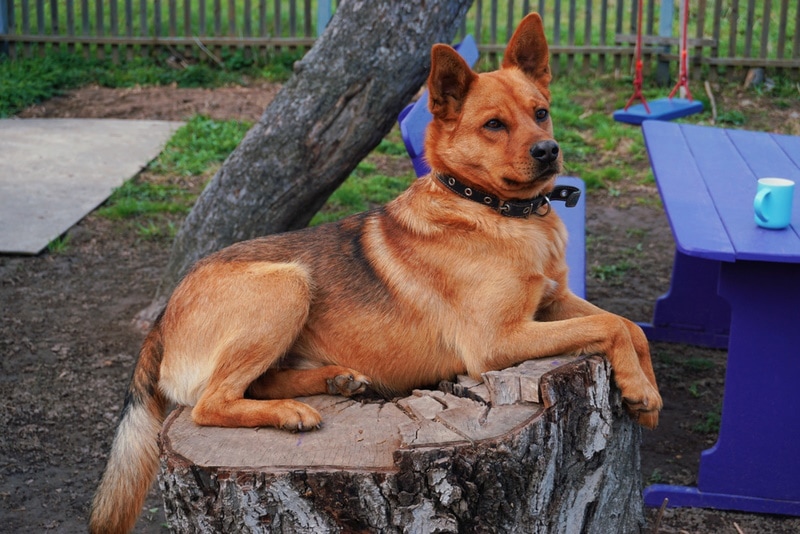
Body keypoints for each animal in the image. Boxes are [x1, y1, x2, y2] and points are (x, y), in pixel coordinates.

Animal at [89, 12, 664, 534]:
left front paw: (646, 391)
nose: (549, 151)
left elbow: (627, 326)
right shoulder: (496, 343)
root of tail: (164, 315)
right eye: (493, 125)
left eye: (540, 113)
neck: (491, 209)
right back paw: (290, 412)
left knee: (254, 383)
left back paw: (335, 380)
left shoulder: (550, 302)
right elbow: (609, 325)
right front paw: (639, 389)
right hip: (287, 284)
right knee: (210, 404)